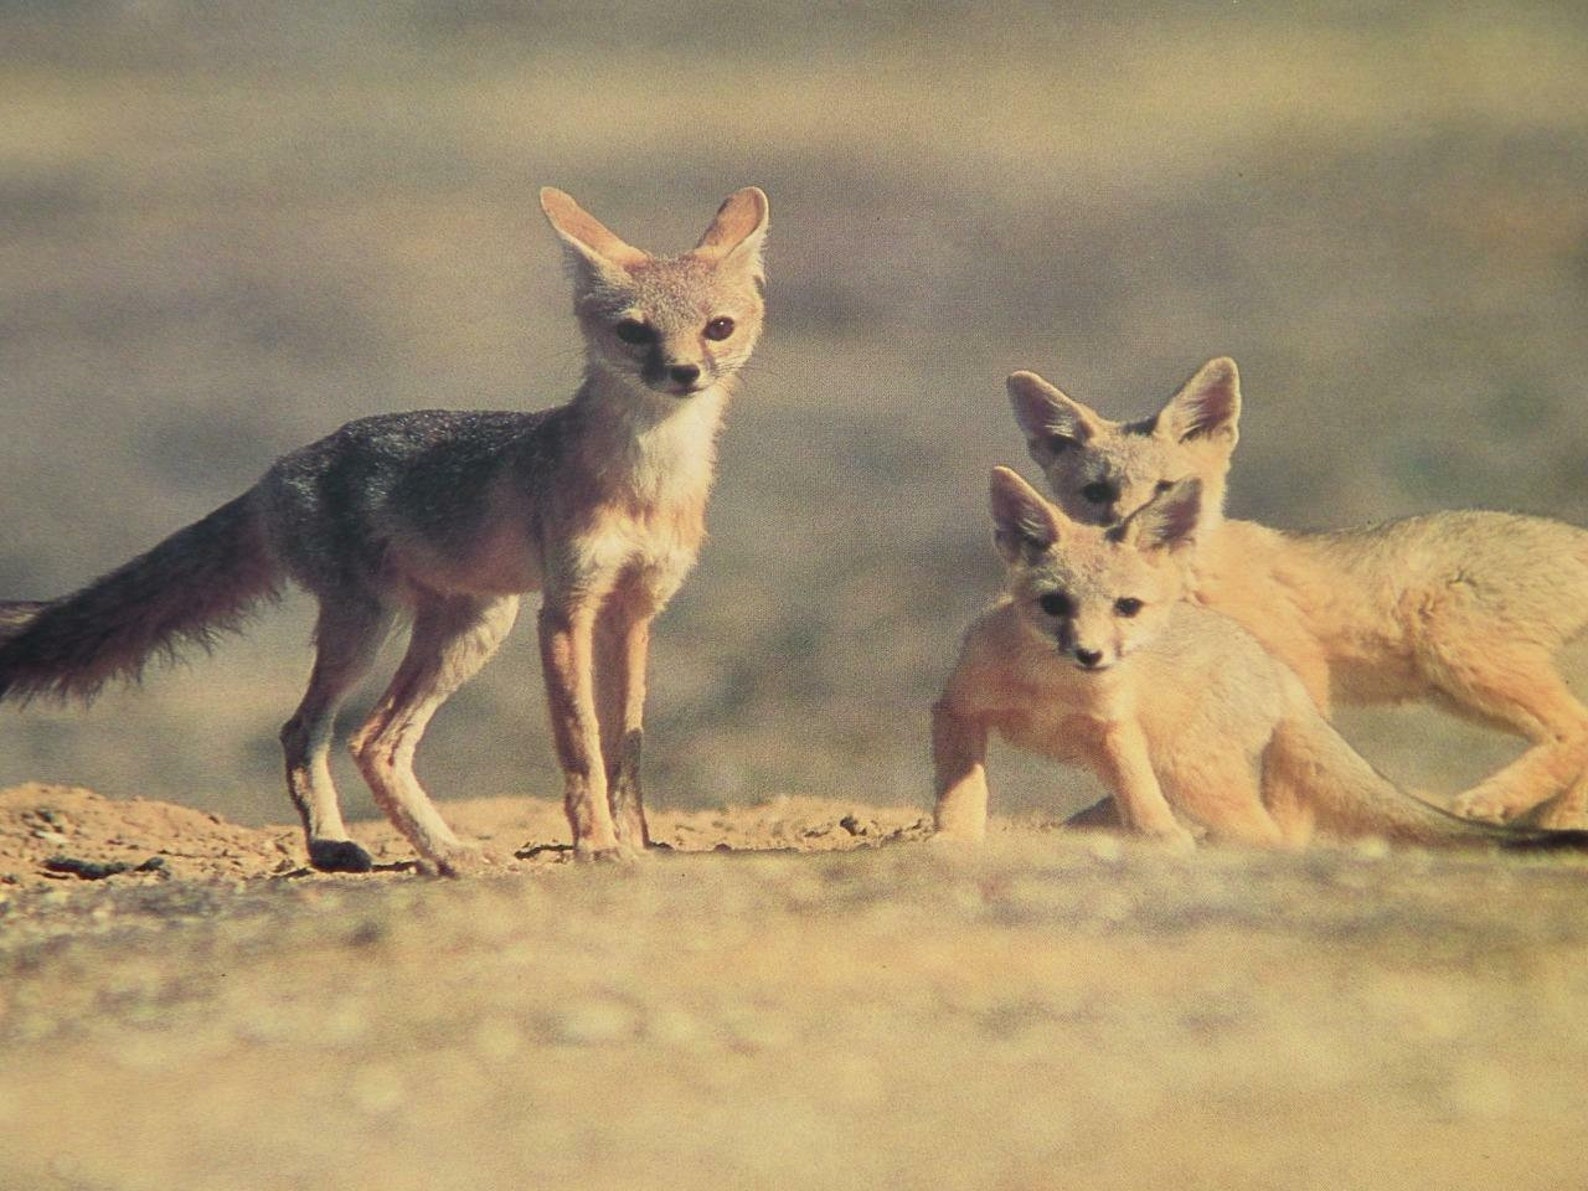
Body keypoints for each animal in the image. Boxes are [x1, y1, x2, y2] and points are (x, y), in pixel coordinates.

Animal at [0, 185, 770, 876]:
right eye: (634, 331)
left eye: (718, 328)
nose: (684, 373)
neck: (649, 483)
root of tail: (279, 469)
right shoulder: (565, 609)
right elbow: (580, 743)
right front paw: (598, 845)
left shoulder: (635, 611)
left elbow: (626, 748)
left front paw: (637, 840)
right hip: (375, 623)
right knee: (328, 733)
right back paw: (405, 850)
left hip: (472, 624)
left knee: (373, 741)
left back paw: (400, 848)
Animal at [931, 466, 1588, 850]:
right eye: (1054, 605)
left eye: (1127, 607)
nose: (1090, 655)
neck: (1050, 691)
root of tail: (1272, 665)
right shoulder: (957, 709)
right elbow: (961, 791)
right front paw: (955, 839)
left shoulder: (1117, 732)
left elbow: (1142, 802)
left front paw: (1166, 843)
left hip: (1197, 768)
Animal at [1007, 358, 1588, 831]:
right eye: (1096, 492)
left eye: (1165, 487)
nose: (1126, 528)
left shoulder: (1300, 668)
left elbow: (1287, 778)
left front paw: (1284, 835)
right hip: (1457, 687)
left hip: (1457, 656)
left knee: (1576, 728)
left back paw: (1496, 801)